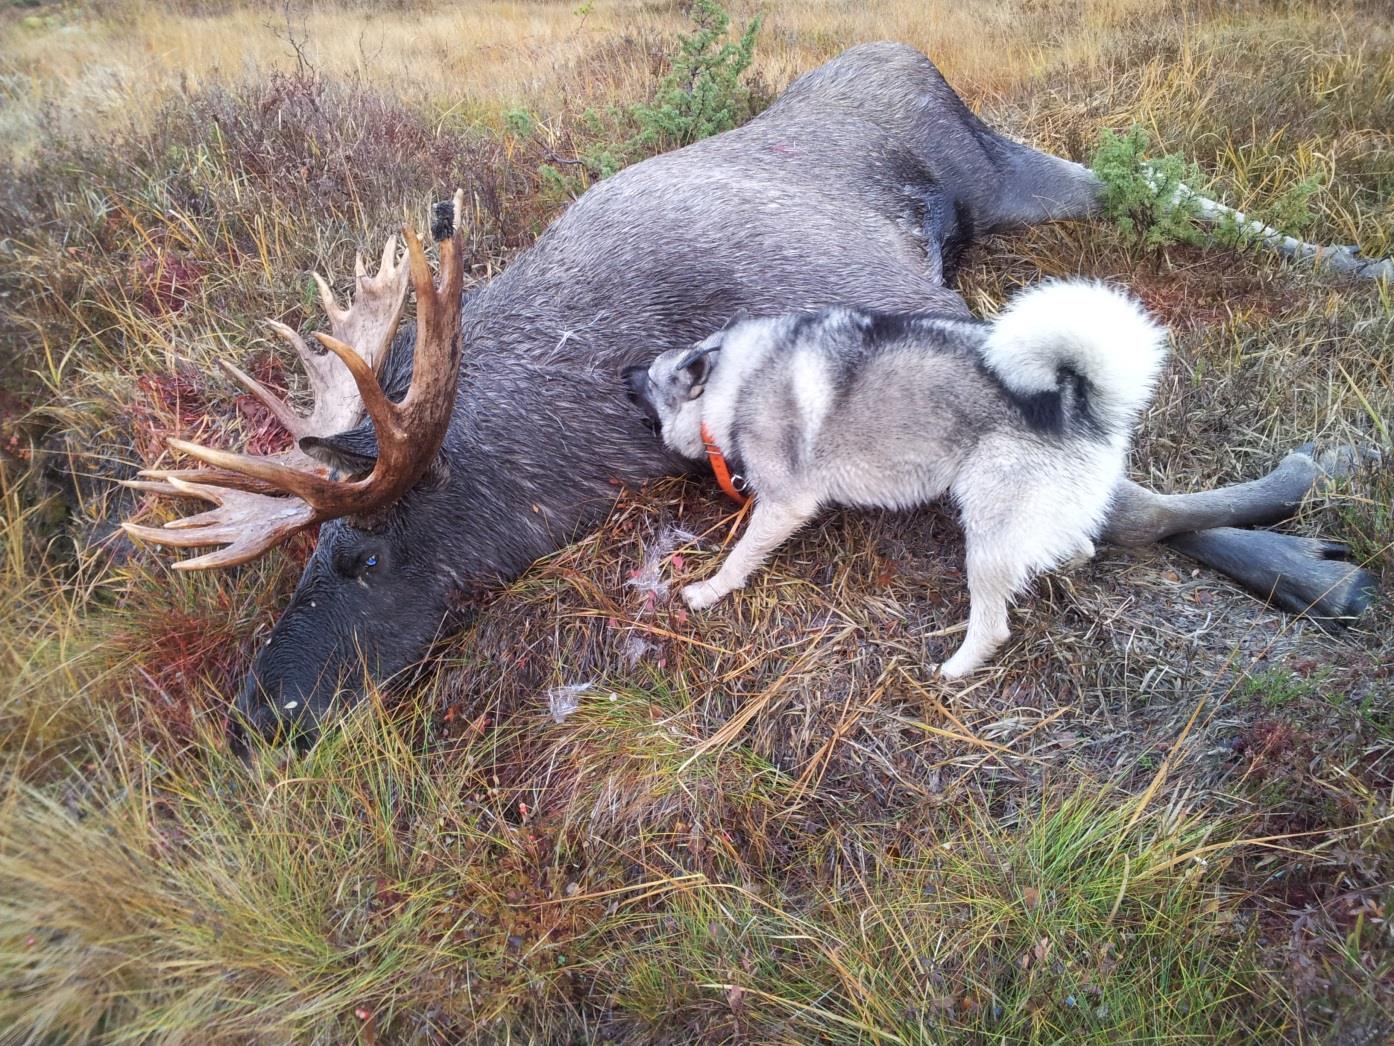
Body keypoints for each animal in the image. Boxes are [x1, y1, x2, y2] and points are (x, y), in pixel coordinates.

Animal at [627, 283, 1170, 683]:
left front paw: (710, 591)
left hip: (986, 537)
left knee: (993, 627)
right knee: (1079, 547)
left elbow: (739, 556)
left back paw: (954, 669)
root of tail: (1078, 399)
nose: (622, 371)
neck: (736, 382)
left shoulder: (785, 505)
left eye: (650, 380)